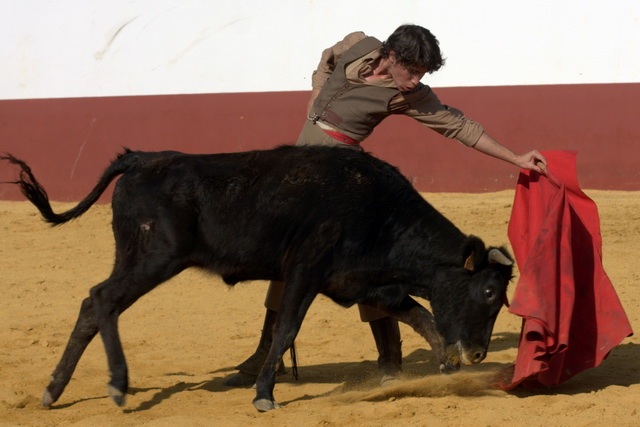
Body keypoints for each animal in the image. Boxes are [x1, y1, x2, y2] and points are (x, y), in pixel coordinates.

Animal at [0, 146, 512, 412]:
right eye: (488, 291)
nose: (479, 353)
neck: (379, 208)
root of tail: (143, 159)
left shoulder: (358, 282)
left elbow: (420, 316)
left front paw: (446, 366)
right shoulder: (306, 271)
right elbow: (286, 328)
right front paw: (264, 394)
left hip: (134, 257)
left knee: (92, 305)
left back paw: (53, 391)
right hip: (153, 259)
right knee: (103, 300)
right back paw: (117, 385)